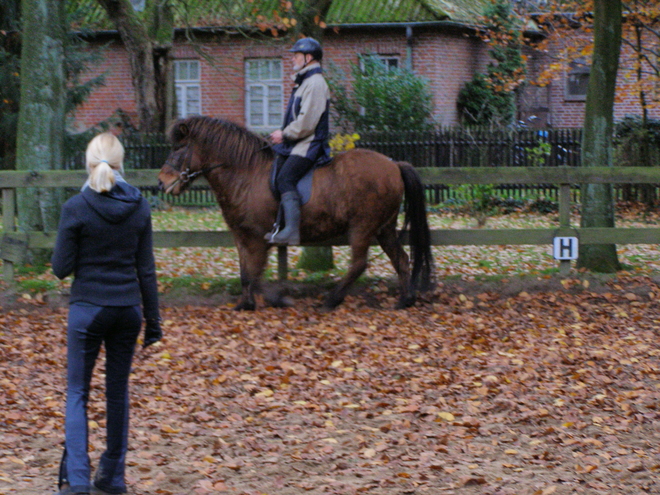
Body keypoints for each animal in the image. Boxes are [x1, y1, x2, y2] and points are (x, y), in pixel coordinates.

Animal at [157, 116, 430, 310]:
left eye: (179, 149)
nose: (162, 182)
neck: (245, 175)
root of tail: (394, 165)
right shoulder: (241, 235)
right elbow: (245, 274)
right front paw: (245, 304)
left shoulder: (257, 238)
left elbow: (255, 275)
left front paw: (278, 300)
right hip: (384, 228)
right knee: (401, 259)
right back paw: (405, 300)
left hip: (362, 227)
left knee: (359, 264)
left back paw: (332, 300)